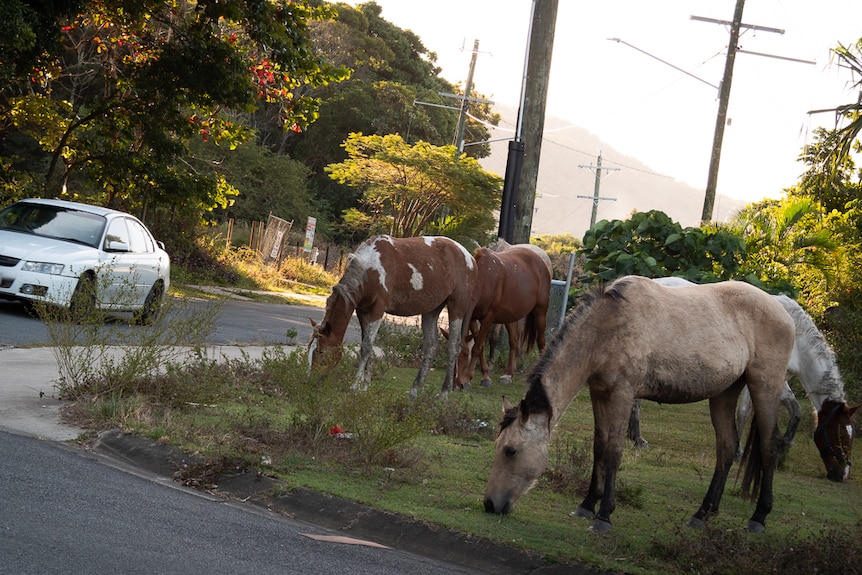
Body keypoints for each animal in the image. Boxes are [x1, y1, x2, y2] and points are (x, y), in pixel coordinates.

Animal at [308, 236, 476, 398]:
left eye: (321, 351)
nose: (311, 379)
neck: (370, 268)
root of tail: (470, 258)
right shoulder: (362, 311)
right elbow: (366, 344)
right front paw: (365, 386)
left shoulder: (378, 309)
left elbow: (366, 347)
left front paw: (354, 386)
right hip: (431, 310)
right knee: (431, 345)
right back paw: (415, 389)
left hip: (457, 307)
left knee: (453, 346)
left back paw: (444, 393)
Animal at [456, 245, 552, 390]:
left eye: (464, 357)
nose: (457, 384)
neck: (485, 277)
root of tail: (540, 260)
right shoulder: (473, 317)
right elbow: (480, 346)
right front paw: (485, 377)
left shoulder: (488, 318)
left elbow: (477, 347)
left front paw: (468, 379)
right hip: (510, 316)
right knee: (514, 341)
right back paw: (508, 374)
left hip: (540, 312)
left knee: (541, 342)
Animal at [486, 276, 796, 532]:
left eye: (511, 450)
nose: (490, 504)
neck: (607, 327)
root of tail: (783, 311)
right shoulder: (599, 392)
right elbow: (599, 446)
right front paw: (587, 505)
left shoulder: (623, 393)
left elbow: (614, 451)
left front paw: (604, 515)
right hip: (724, 392)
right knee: (727, 448)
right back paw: (702, 515)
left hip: (765, 387)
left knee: (768, 446)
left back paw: (758, 517)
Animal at [628, 276, 862, 484]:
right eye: (840, 435)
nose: (842, 474)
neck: (795, 334)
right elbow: (743, 413)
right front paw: (739, 451)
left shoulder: (779, 379)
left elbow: (795, 410)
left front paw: (784, 445)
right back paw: (638, 438)